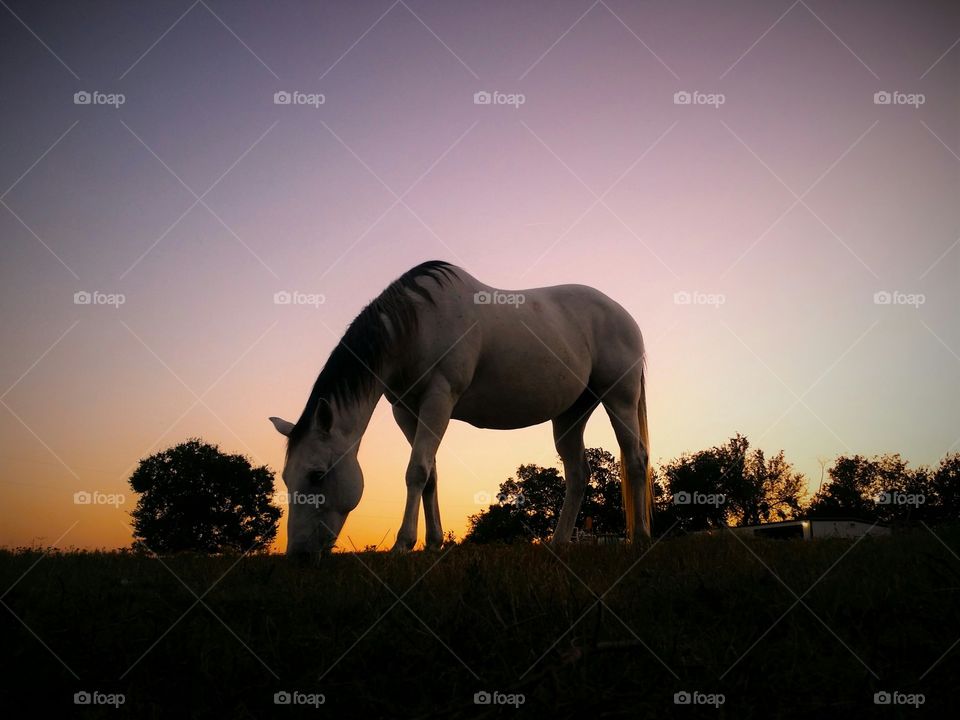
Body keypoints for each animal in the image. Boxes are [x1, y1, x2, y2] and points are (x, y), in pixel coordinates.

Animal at [268, 262, 652, 556]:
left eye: (317, 474)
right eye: (286, 477)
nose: (298, 555)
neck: (417, 323)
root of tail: (622, 314)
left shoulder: (439, 398)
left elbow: (416, 471)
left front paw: (403, 544)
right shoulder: (405, 411)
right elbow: (430, 475)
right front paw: (433, 543)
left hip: (619, 398)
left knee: (635, 459)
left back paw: (641, 539)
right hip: (571, 413)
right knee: (577, 474)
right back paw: (558, 544)